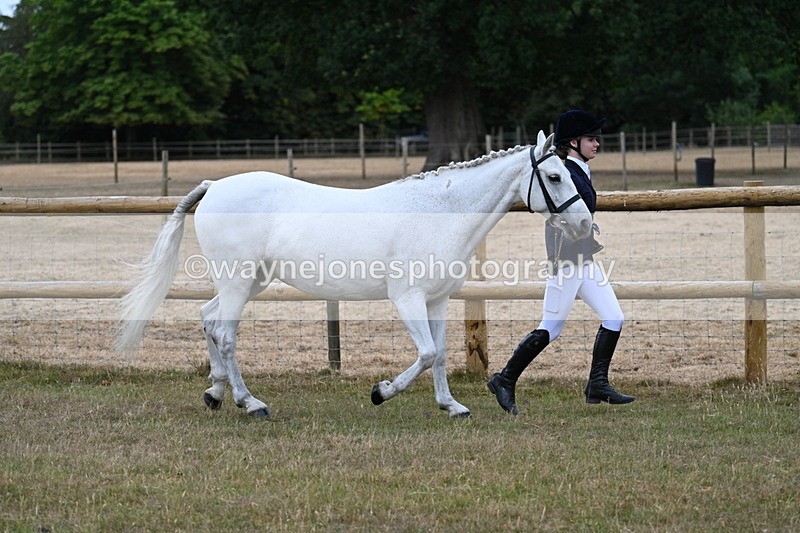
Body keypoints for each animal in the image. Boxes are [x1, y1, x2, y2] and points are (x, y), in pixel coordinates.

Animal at [115, 130, 592, 418]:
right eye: (554, 176)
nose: (587, 225)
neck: (438, 214)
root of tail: (215, 186)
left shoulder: (436, 301)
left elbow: (439, 354)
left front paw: (451, 406)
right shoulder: (407, 299)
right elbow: (426, 354)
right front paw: (381, 392)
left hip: (251, 281)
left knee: (208, 318)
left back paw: (215, 393)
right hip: (238, 280)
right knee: (225, 333)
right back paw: (250, 403)